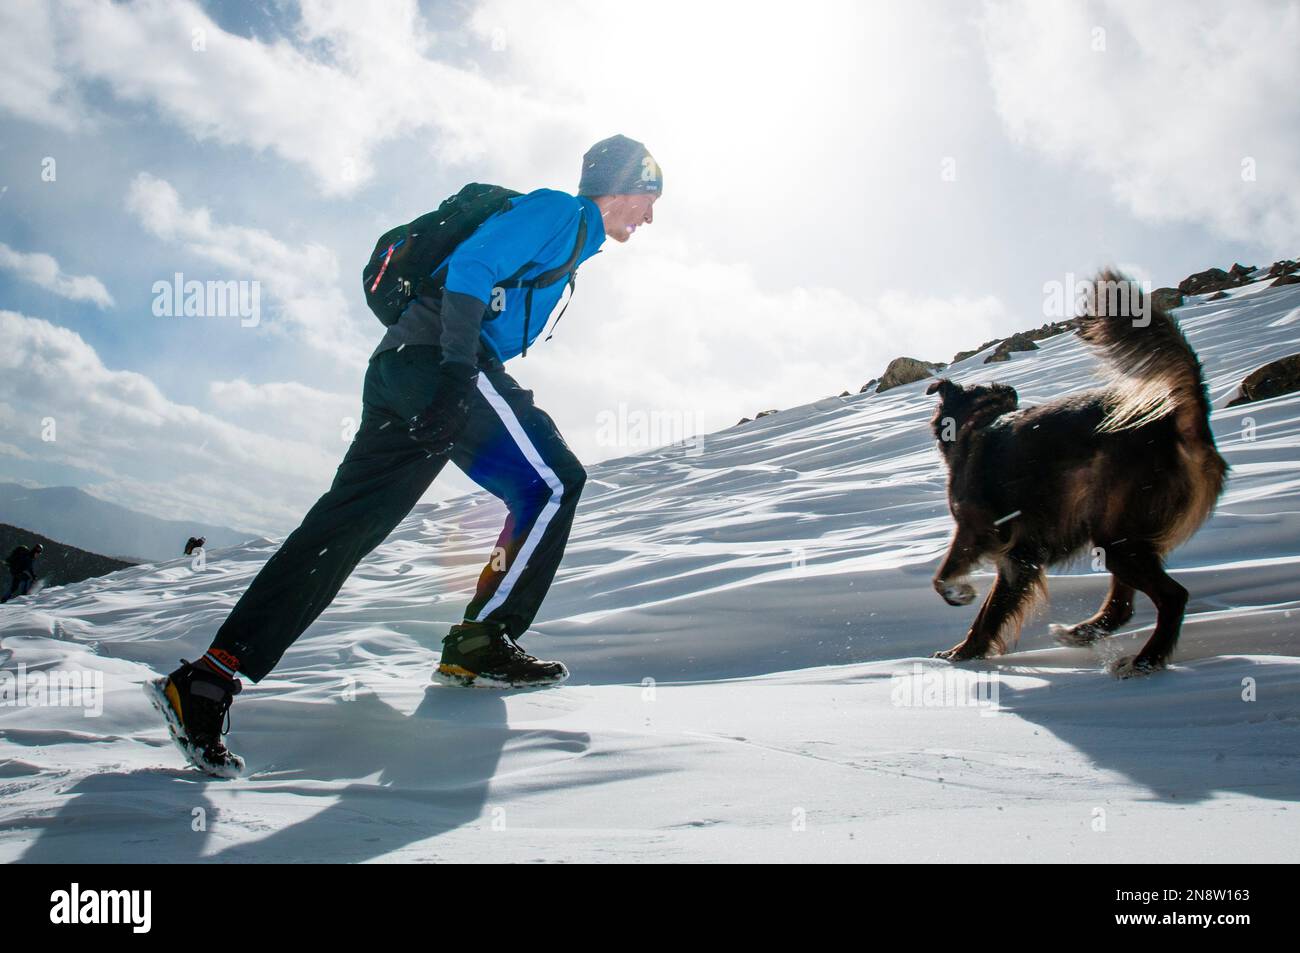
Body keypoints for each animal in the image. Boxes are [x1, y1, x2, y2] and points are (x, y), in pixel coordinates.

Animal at [930, 269, 1222, 676]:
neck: (978, 420)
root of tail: (1173, 421)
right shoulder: (1022, 554)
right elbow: (993, 610)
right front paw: (967, 651)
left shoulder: (981, 531)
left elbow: (947, 582)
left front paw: (961, 629)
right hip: (1118, 535)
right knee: (1123, 605)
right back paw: (1082, 633)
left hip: (1118, 535)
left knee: (1172, 597)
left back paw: (1143, 662)